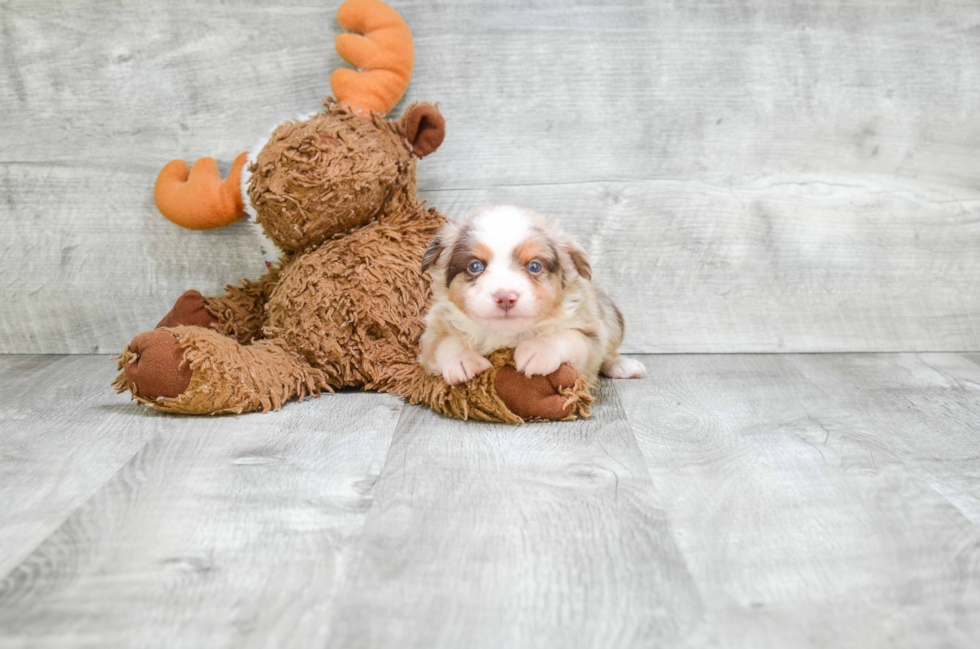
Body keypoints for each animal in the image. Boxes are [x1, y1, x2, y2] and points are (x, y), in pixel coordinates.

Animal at [420, 205, 644, 382]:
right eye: (475, 266)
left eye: (534, 266)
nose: (505, 297)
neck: (506, 335)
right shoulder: (431, 333)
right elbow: (445, 342)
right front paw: (463, 360)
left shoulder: (592, 332)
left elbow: (570, 335)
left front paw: (539, 349)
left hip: (611, 315)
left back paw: (622, 365)